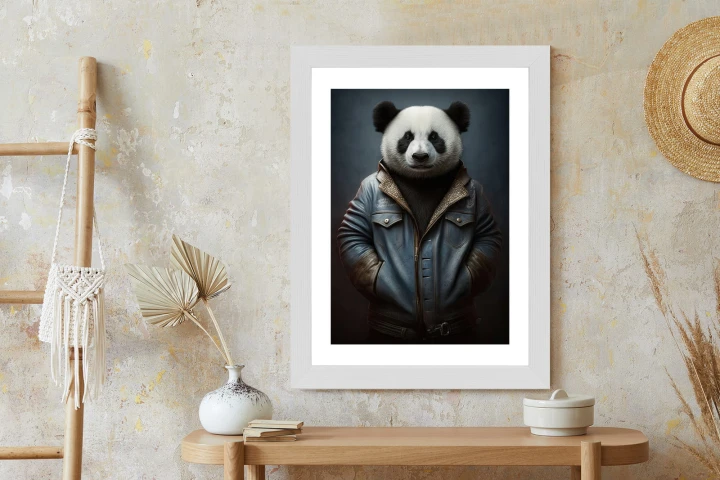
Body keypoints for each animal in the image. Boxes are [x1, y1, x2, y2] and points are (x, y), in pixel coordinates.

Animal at [337, 100, 502, 343]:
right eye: (407, 137)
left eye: (434, 137)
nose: (420, 157)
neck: (421, 180)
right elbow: (353, 231)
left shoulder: (476, 191)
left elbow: (487, 233)